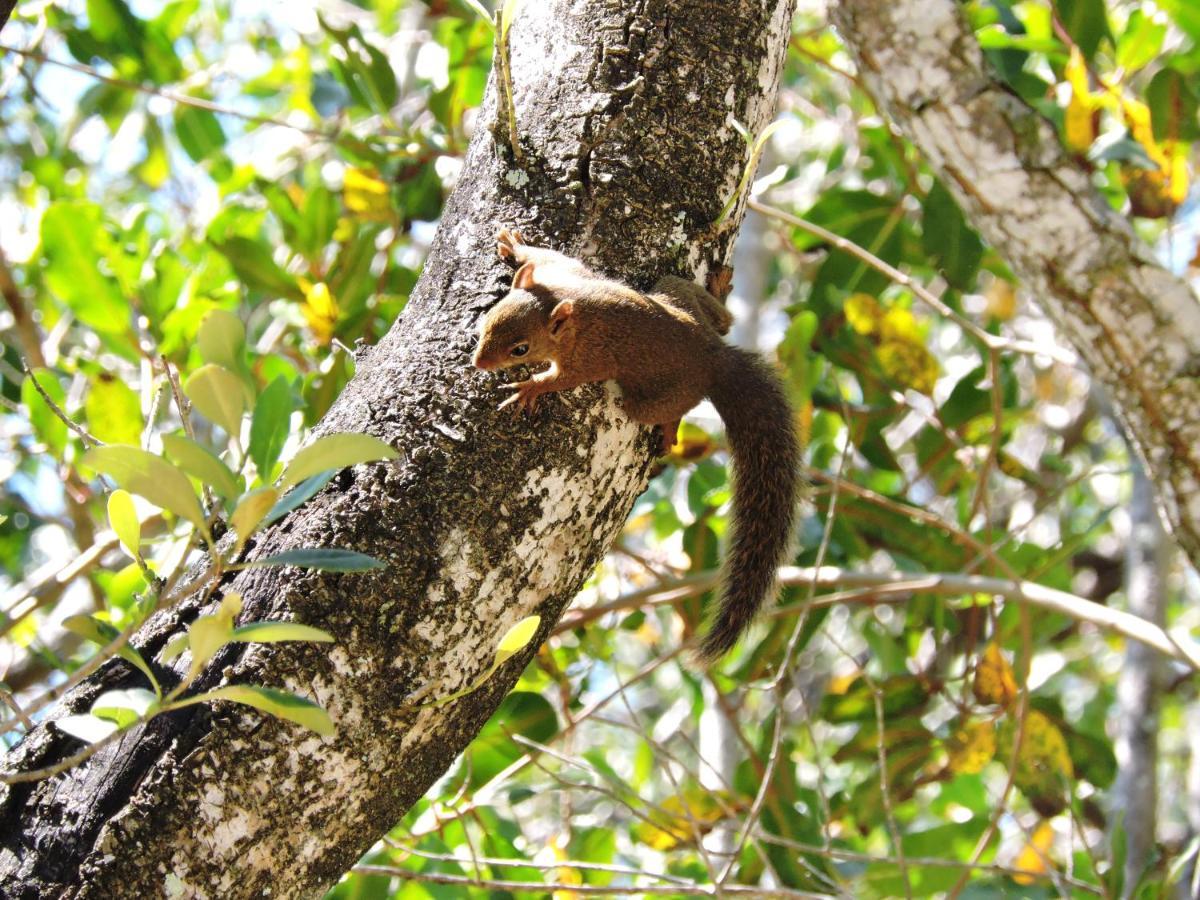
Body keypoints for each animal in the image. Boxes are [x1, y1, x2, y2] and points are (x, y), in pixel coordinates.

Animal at [472, 226, 801, 662]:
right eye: (490, 318)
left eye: (519, 349)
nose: (478, 363)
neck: (564, 309)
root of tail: (714, 361)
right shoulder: (566, 274)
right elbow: (552, 258)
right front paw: (516, 246)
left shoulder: (587, 359)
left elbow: (560, 379)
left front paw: (530, 388)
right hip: (674, 290)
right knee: (723, 320)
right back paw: (718, 289)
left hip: (651, 400)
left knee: (667, 406)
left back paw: (668, 428)